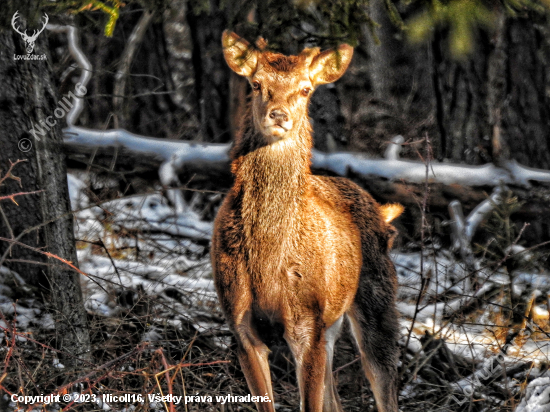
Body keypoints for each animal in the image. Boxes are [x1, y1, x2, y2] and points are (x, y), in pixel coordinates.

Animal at [212, 29, 406, 412]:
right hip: (330, 324)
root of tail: (381, 210)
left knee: (384, 384)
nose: (279, 115)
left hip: (376, 300)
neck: (269, 260)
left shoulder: (306, 322)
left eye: (305, 89)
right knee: (336, 400)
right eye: (256, 83)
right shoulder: (239, 323)